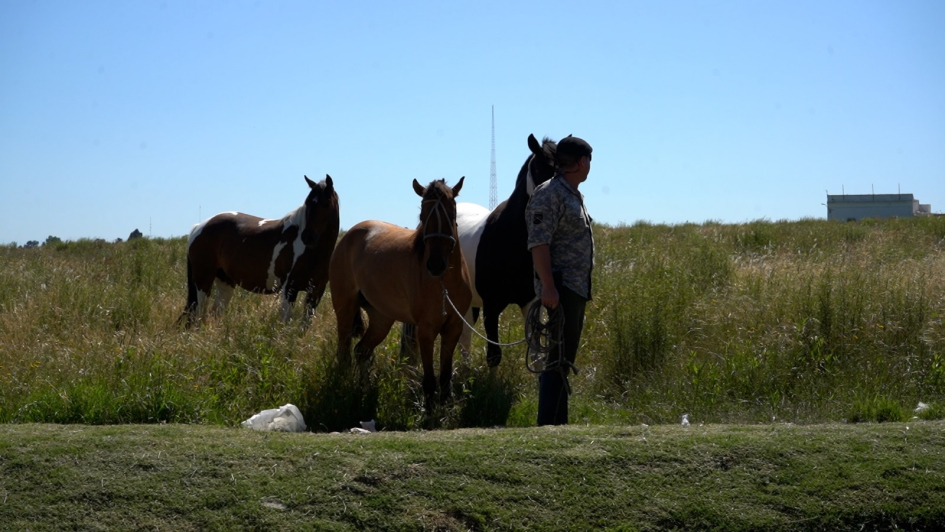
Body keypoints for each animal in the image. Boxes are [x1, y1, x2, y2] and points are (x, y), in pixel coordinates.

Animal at [181, 174, 339, 326]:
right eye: (307, 203)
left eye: (325, 204)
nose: (308, 237)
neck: (314, 253)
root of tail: (199, 227)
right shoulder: (290, 288)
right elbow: (286, 324)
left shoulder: (316, 292)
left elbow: (305, 326)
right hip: (203, 281)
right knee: (197, 315)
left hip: (225, 281)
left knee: (214, 313)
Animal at [329, 177, 471, 415]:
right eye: (422, 215)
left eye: (452, 214)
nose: (435, 265)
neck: (444, 283)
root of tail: (349, 235)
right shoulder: (425, 330)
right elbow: (429, 379)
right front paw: (429, 414)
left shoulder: (453, 328)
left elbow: (445, 377)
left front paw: (445, 410)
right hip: (345, 311)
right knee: (344, 354)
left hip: (381, 318)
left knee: (362, 352)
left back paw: (364, 391)